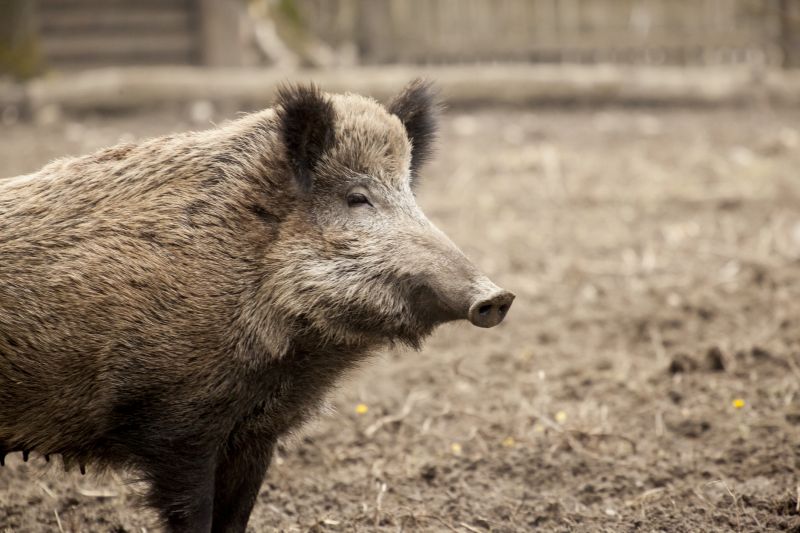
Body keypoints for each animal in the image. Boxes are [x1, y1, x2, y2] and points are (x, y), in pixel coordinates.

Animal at [0, 80, 514, 532]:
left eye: (410, 193)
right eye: (357, 198)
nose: (498, 297)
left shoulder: (256, 435)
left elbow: (236, 518)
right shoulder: (176, 424)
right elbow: (193, 514)